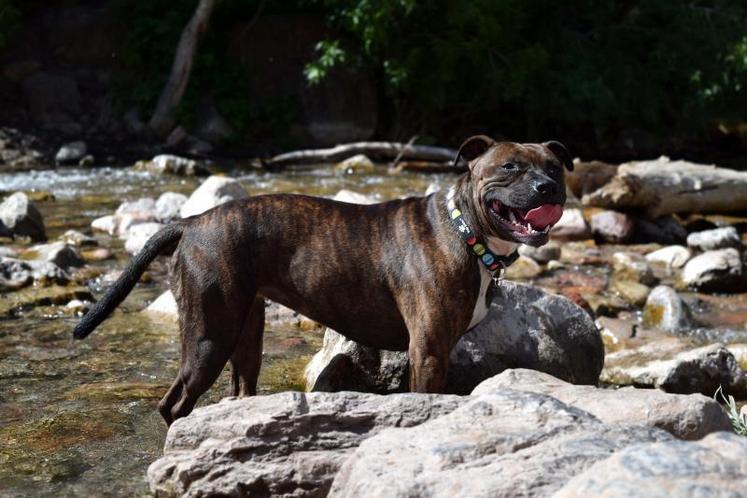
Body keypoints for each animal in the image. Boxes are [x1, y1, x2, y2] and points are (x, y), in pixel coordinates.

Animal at [74, 136, 572, 424]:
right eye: (510, 167)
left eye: (554, 166)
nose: (548, 187)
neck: (464, 229)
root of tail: (192, 221)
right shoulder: (428, 351)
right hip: (208, 337)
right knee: (173, 404)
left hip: (244, 332)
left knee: (240, 387)